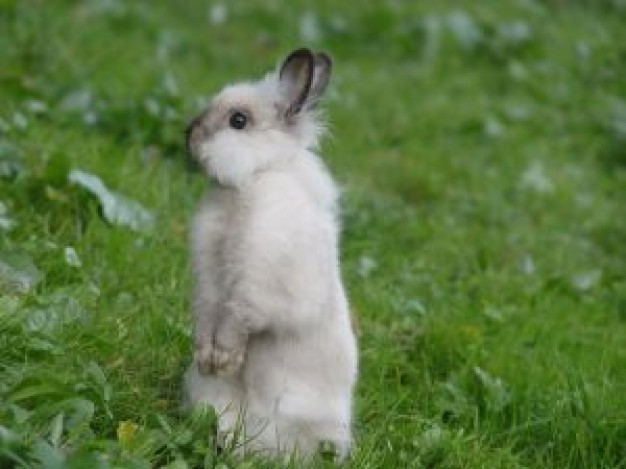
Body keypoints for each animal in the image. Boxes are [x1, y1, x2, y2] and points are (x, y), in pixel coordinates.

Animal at [182, 48, 356, 460]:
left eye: (238, 121)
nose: (189, 133)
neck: (256, 176)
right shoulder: (209, 276)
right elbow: (208, 311)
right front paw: (207, 358)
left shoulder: (259, 279)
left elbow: (237, 318)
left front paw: (224, 358)